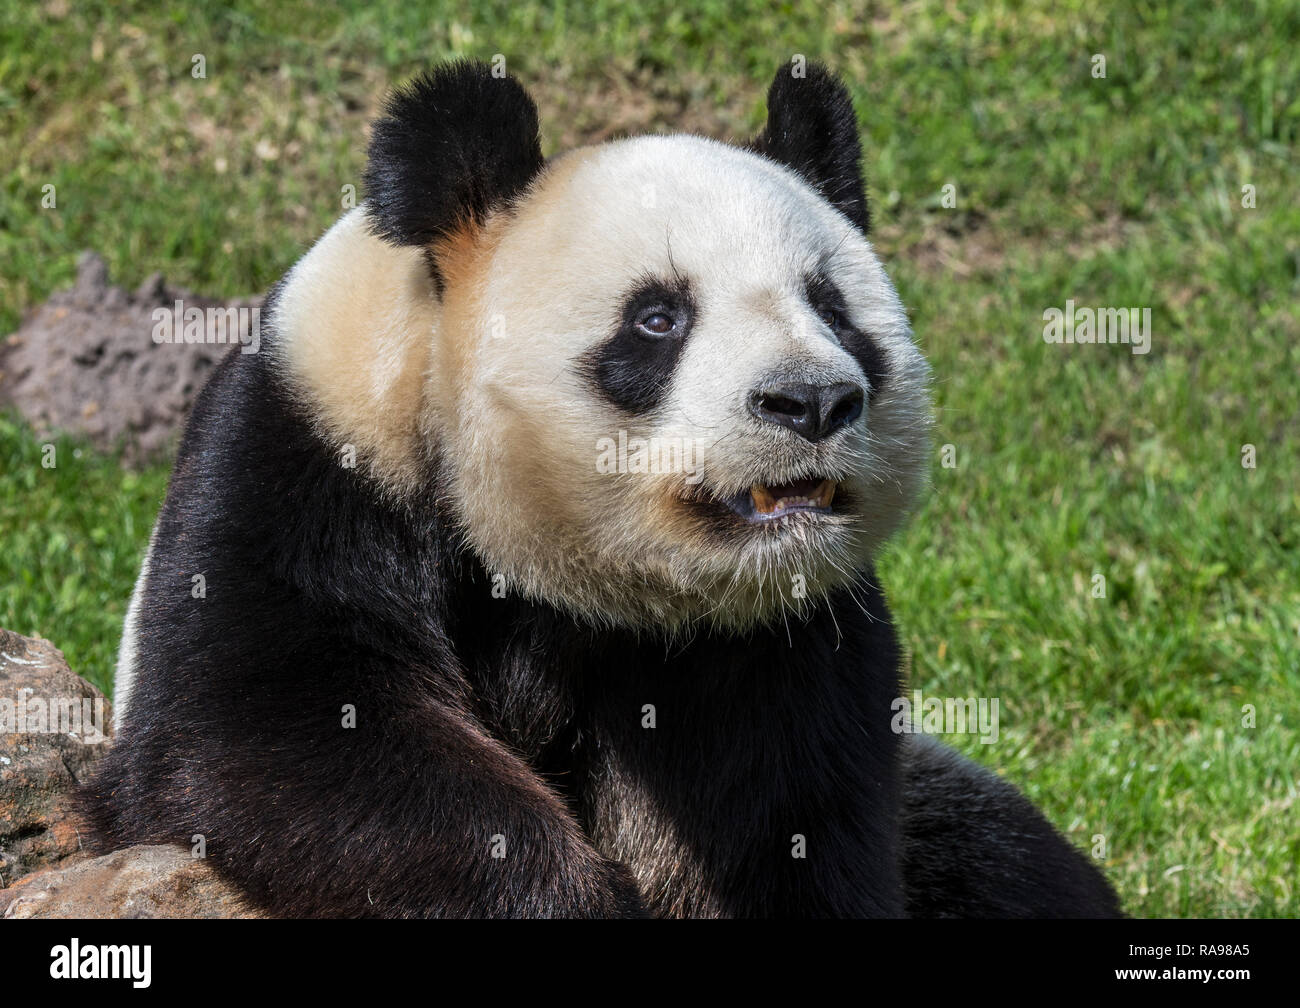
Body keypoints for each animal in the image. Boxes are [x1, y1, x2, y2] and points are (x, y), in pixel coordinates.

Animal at [78, 59, 1118, 920]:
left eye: (832, 309)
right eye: (658, 318)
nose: (813, 400)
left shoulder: (780, 636)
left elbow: (793, 812)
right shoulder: (311, 463)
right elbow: (279, 729)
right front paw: (561, 898)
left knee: (1009, 859)